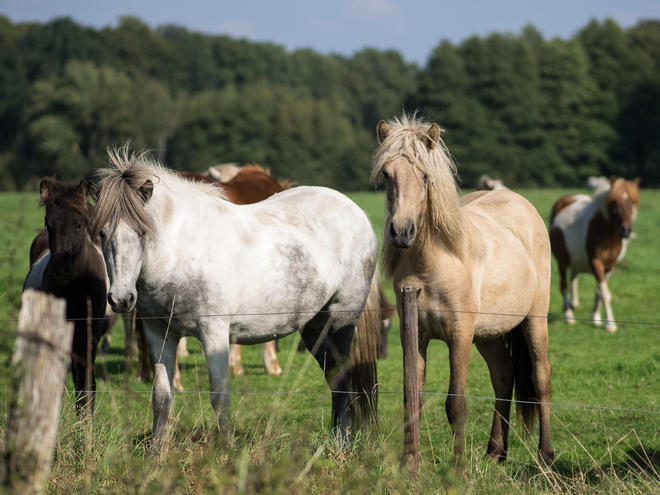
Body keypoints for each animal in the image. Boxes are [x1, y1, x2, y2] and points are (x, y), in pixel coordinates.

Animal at [91, 148, 382, 446]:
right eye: (102, 233)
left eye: (142, 232)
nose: (121, 299)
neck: (180, 252)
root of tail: (357, 212)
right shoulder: (160, 334)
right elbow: (161, 398)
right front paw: (157, 452)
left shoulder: (214, 333)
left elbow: (220, 397)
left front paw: (228, 449)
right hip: (314, 327)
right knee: (333, 374)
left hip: (341, 318)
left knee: (342, 375)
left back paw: (340, 443)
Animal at [374, 114, 556, 464]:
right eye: (387, 175)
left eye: (425, 174)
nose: (402, 232)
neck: (433, 263)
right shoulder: (414, 336)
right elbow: (412, 401)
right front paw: (409, 462)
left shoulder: (459, 334)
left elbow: (455, 404)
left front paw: (457, 467)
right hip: (489, 333)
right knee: (504, 375)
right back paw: (495, 452)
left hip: (534, 320)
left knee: (541, 378)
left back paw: (546, 454)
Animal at [548, 177, 640, 334]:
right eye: (614, 202)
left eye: (632, 202)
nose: (626, 230)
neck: (606, 231)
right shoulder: (595, 261)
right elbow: (604, 293)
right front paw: (610, 324)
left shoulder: (610, 265)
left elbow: (599, 291)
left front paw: (596, 318)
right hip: (562, 261)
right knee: (564, 284)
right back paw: (568, 315)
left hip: (575, 259)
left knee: (573, 277)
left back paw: (573, 303)